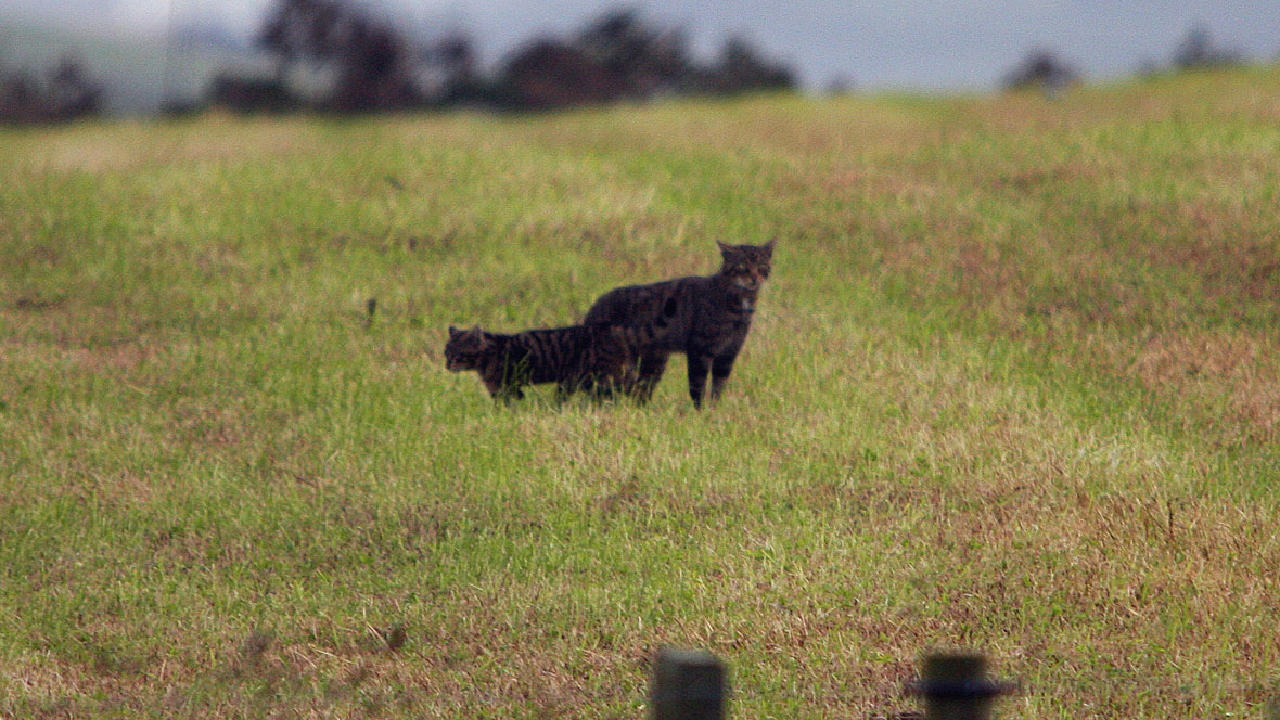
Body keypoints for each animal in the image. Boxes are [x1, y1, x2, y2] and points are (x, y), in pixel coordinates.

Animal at [586, 238, 773, 407]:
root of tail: (594, 307)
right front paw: (700, 412)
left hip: (652, 362)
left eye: (762, 266)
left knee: (638, 391)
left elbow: (718, 389)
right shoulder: (700, 350)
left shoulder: (728, 354)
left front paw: (715, 410)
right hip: (618, 363)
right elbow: (697, 386)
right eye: (742, 267)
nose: (754, 278)